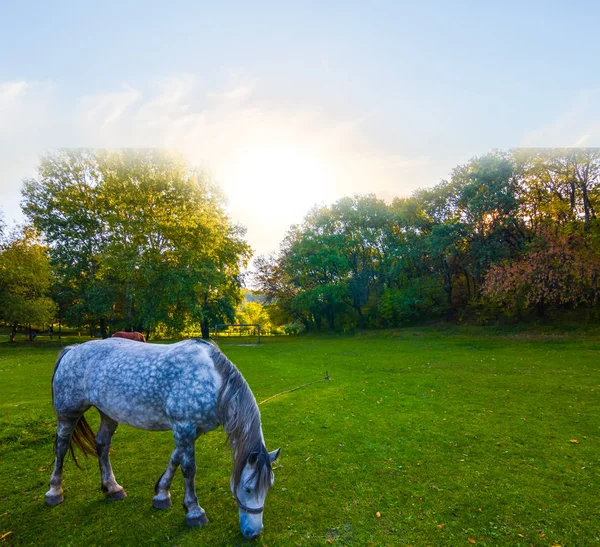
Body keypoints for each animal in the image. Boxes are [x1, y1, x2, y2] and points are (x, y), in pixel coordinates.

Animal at [45, 338, 280, 540]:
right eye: (248, 489)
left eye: (269, 486)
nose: (254, 533)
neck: (213, 382)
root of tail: (72, 350)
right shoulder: (184, 426)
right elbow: (188, 468)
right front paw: (194, 511)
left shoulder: (190, 431)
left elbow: (174, 459)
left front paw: (161, 494)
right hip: (68, 413)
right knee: (61, 447)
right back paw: (54, 491)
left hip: (108, 414)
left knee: (102, 445)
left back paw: (112, 487)